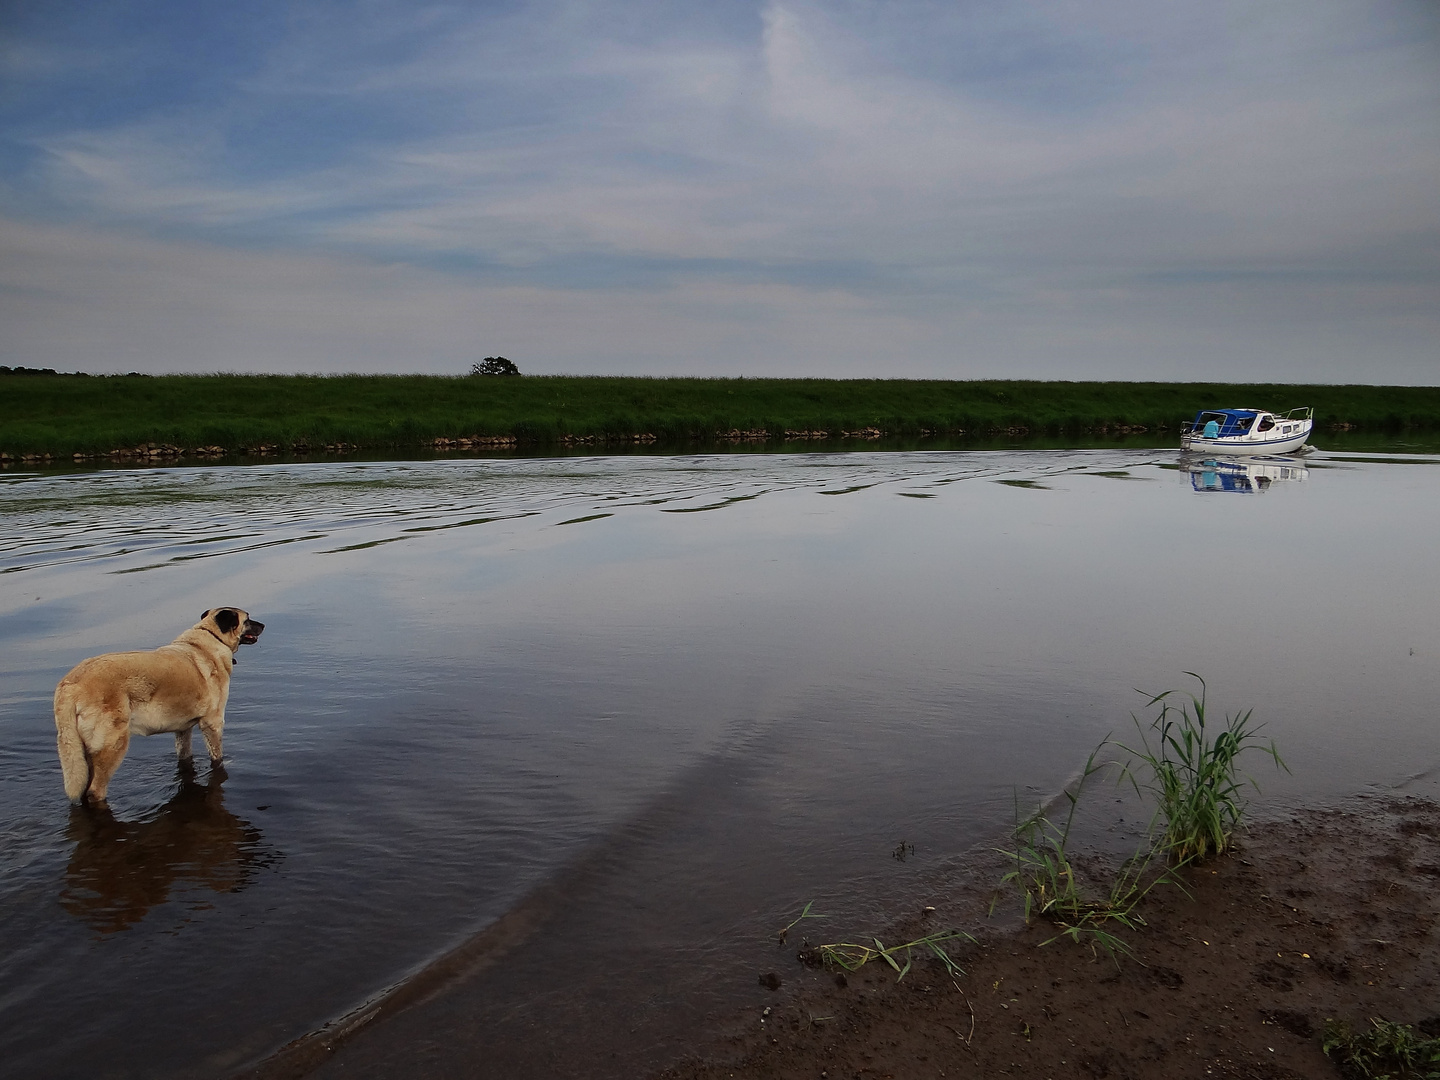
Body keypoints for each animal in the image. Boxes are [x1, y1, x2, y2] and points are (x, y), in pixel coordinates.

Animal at [54, 610, 267, 806]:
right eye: (247, 619)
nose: (263, 625)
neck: (210, 637)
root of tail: (69, 685)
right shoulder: (213, 724)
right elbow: (217, 757)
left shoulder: (183, 730)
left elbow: (185, 757)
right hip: (113, 744)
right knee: (95, 791)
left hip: (82, 753)